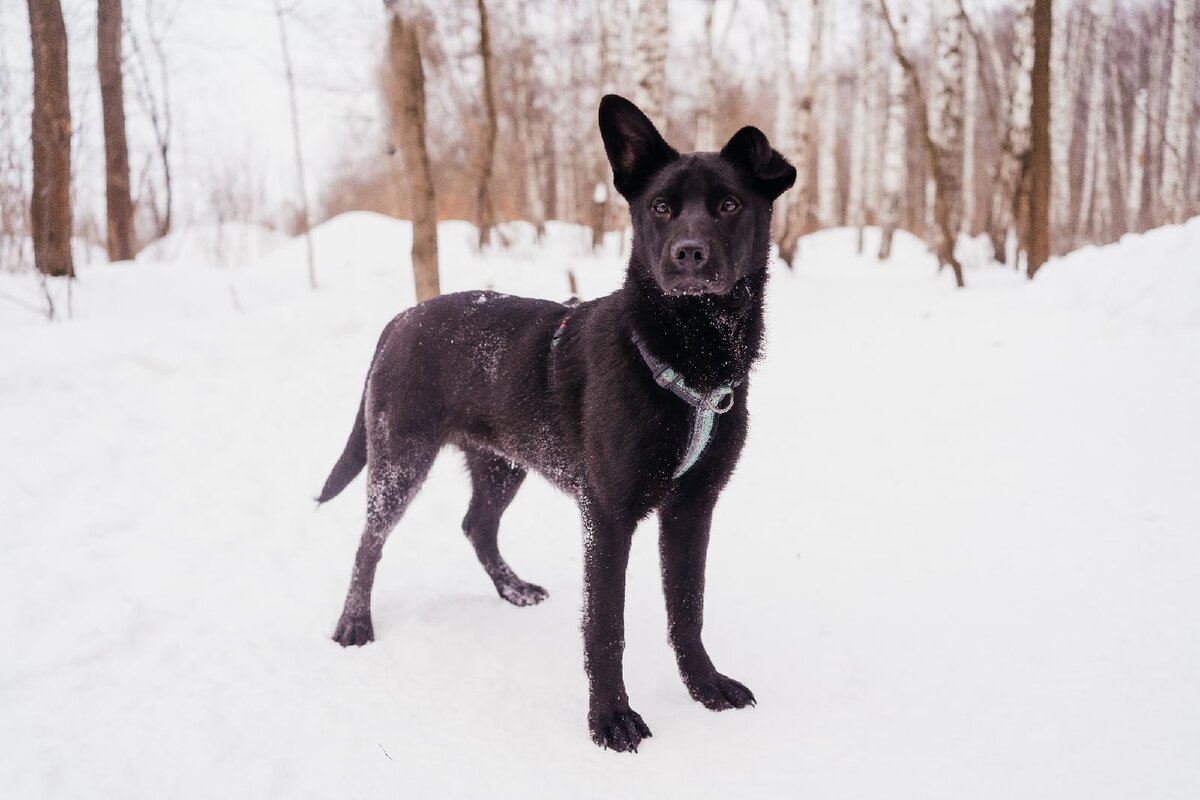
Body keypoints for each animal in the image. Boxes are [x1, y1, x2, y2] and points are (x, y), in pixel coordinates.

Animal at [316, 95, 796, 753]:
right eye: (661, 208)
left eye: (729, 205)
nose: (688, 254)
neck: (687, 354)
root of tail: (401, 318)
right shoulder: (609, 515)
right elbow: (606, 627)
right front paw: (611, 720)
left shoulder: (693, 508)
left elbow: (688, 610)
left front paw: (705, 689)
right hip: (400, 457)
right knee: (371, 541)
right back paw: (354, 624)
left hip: (501, 462)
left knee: (476, 525)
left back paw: (513, 589)